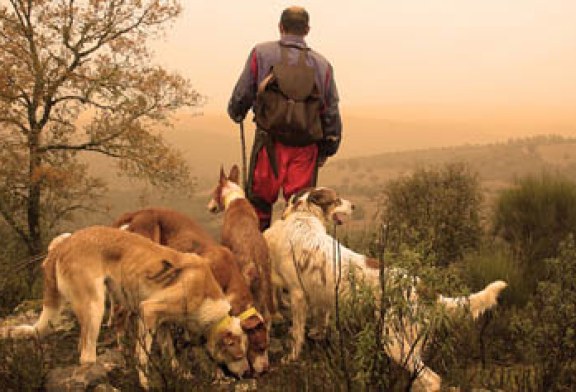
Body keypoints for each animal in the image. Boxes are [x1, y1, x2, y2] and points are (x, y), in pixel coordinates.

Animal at [2, 227, 250, 388]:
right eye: (238, 354)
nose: (249, 373)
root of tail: (62, 245)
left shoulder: (162, 324)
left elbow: (170, 353)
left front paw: (182, 374)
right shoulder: (148, 311)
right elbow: (142, 356)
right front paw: (145, 383)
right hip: (95, 307)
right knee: (87, 356)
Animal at [115, 207, 272, 376]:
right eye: (260, 347)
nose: (265, 369)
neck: (228, 274)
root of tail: (136, 213)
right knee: (119, 316)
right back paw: (124, 358)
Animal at [264, 187, 506, 392]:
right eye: (337, 199)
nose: (354, 206)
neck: (304, 218)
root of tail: (421, 287)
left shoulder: (297, 295)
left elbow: (296, 334)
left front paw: (291, 357)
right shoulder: (318, 296)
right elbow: (318, 322)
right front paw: (316, 335)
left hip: (395, 342)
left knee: (432, 379)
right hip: (409, 345)